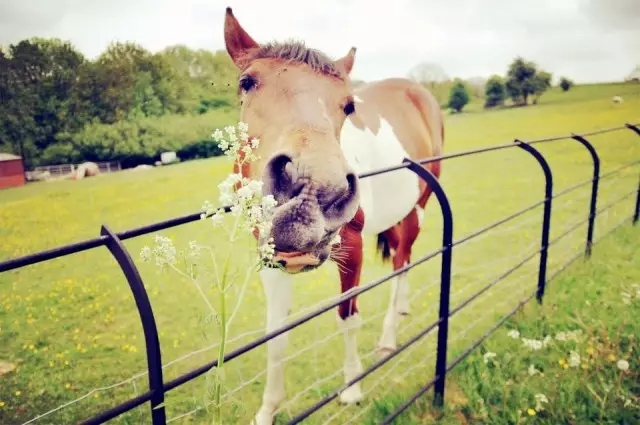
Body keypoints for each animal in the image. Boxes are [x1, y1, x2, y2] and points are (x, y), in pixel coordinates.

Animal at [222, 8, 444, 424]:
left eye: (348, 105)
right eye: (247, 82)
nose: (313, 190)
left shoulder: (352, 251)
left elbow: (347, 318)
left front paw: (352, 388)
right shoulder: (270, 259)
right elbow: (275, 335)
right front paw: (268, 408)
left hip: (419, 207)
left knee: (402, 261)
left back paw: (388, 337)